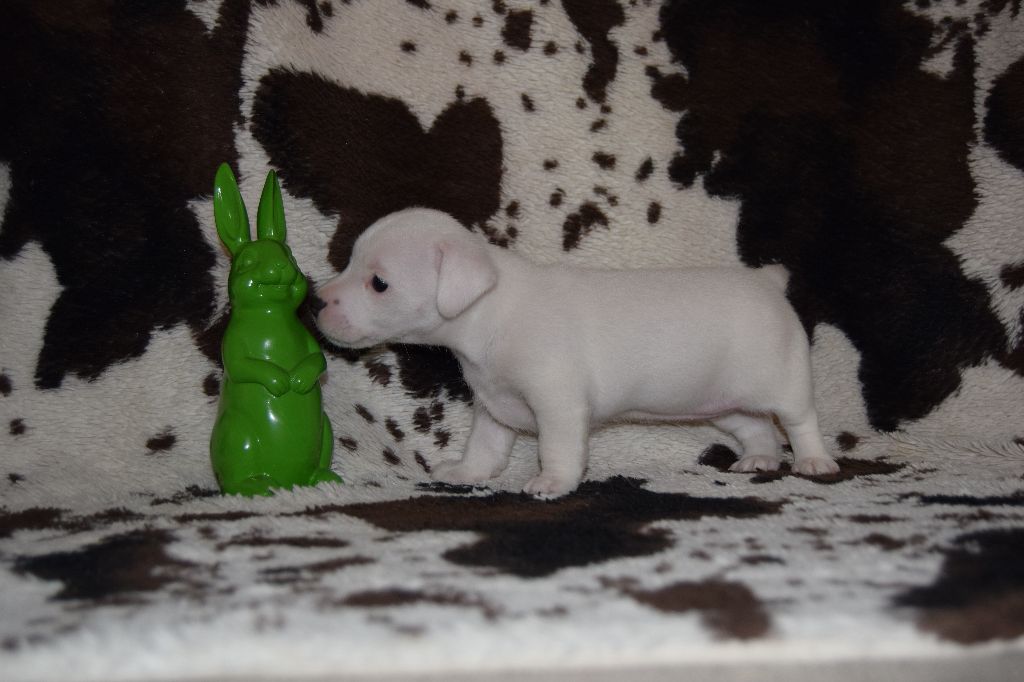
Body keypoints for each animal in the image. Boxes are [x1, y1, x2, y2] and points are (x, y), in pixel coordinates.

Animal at [315, 208, 839, 496]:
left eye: (379, 283)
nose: (315, 302)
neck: (492, 308)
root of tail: (767, 281)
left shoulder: (558, 405)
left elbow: (557, 447)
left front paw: (552, 483)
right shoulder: (493, 406)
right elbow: (484, 446)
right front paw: (467, 471)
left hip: (784, 382)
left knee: (799, 422)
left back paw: (813, 461)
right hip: (725, 404)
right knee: (757, 429)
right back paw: (760, 460)